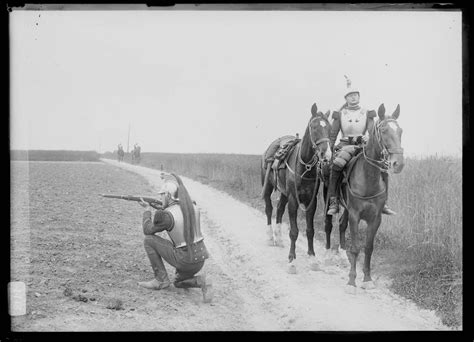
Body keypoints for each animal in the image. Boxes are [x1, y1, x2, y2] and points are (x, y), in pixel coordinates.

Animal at [260, 101, 334, 272]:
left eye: (329, 128)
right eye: (314, 127)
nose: (326, 155)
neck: (304, 166)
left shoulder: (311, 201)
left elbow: (310, 230)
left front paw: (312, 258)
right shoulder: (294, 199)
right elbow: (294, 231)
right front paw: (292, 261)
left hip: (284, 193)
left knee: (280, 209)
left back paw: (279, 239)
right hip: (268, 188)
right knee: (269, 209)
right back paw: (270, 237)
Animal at [336, 104, 404, 292]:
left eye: (400, 131)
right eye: (384, 130)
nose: (398, 164)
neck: (368, 178)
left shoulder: (375, 218)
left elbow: (368, 247)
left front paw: (367, 278)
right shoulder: (355, 215)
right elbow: (355, 248)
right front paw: (352, 281)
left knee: (341, 225)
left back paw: (342, 253)